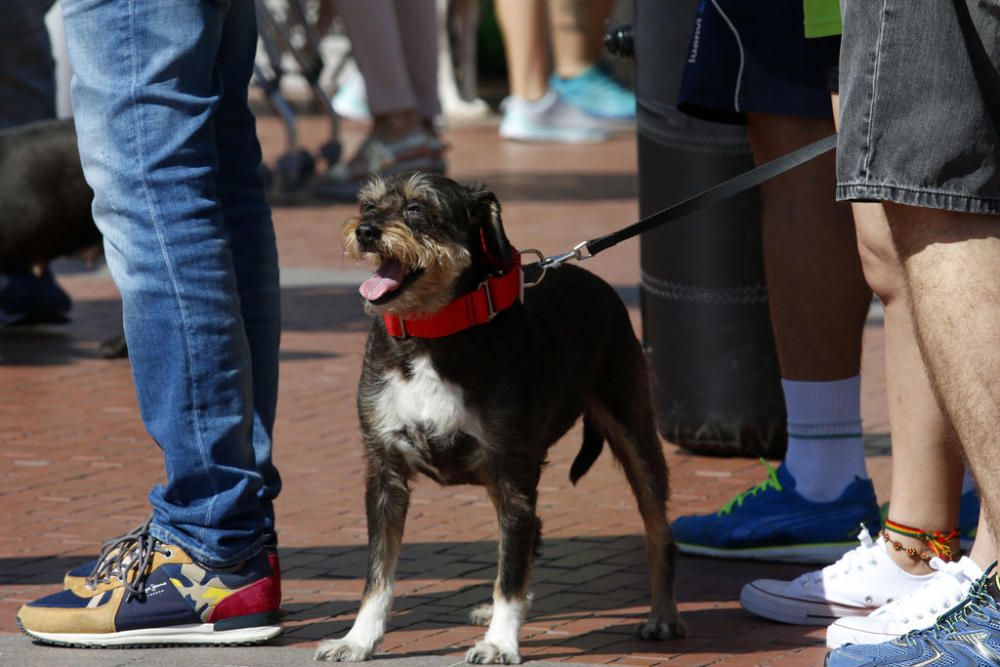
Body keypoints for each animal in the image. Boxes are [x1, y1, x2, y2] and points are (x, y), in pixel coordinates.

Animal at [316, 174, 684, 667]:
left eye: (417, 209)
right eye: (368, 205)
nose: (366, 231)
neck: (431, 334)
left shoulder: (512, 471)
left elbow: (510, 574)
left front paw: (500, 642)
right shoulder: (385, 473)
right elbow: (378, 572)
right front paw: (358, 639)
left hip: (633, 431)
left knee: (656, 530)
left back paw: (663, 614)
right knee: (531, 536)